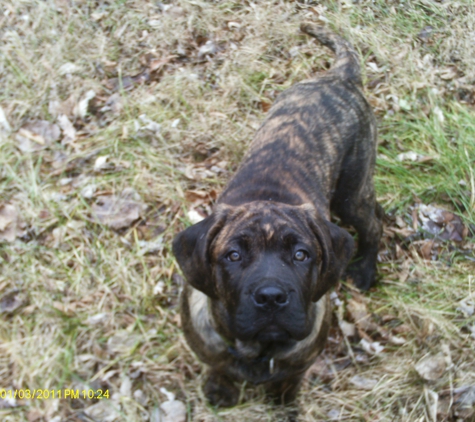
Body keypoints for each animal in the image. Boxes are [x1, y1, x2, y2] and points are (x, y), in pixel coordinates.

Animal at [173, 22, 384, 406]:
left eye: (302, 255)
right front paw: (220, 390)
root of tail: (338, 77)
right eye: (233, 255)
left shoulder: (301, 360)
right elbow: (218, 367)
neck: (259, 350)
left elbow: (288, 379)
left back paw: (364, 270)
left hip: (350, 192)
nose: (271, 297)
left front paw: (281, 400)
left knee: (373, 225)